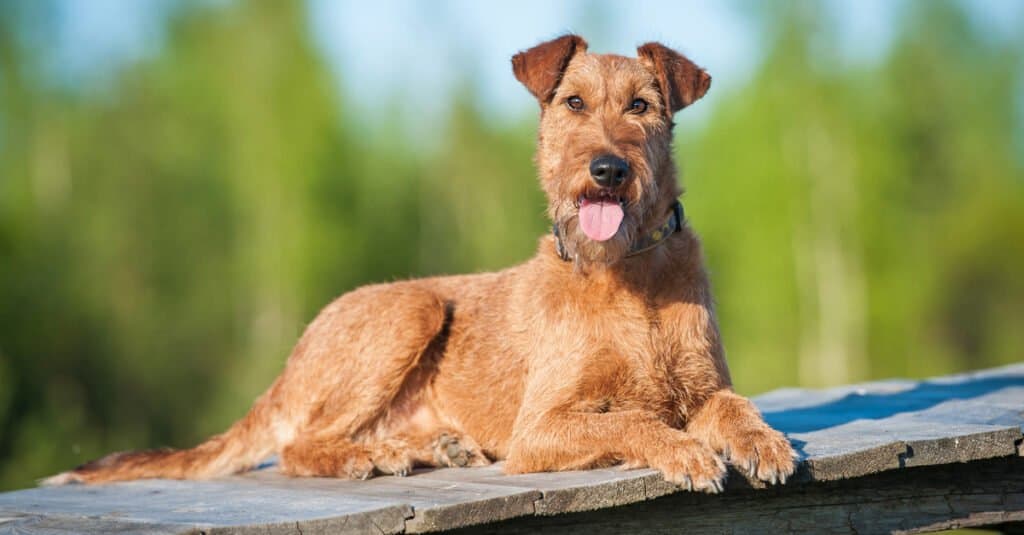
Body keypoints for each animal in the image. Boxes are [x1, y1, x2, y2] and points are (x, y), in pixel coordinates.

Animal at [48, 33, 794, 491]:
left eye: (641, 106)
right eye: (573, 103)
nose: (607, 169)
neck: (629, 274)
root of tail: (286, 369)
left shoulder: (704, 385)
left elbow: (735, 405)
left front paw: (762, 442)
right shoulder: (539, 428)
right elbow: (631, 420)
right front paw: (686, 450)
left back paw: (427, 446)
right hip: (413, 307)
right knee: (299, 444)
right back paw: (372, 456)